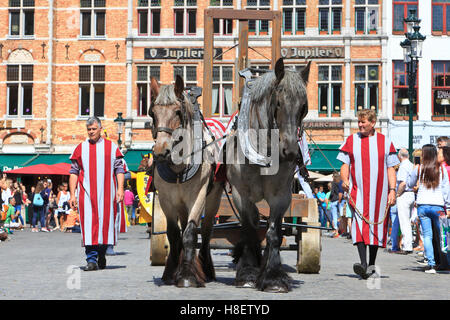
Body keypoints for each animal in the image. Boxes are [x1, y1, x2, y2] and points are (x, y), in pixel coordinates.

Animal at [149, 75, 223, 288]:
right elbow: (174, 234)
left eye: (177, 112)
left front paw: (188, 276)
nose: (161, 152)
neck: (179, 168)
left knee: (206, 232)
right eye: (152, 113)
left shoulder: (198, 197)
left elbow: (190, 233)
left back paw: (207, 269)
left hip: (213, 199)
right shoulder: (166, 200)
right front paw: (171, 272)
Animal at [227, 58, 312, 292]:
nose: (290, 151)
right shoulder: (241, 195)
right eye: (279, 103)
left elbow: (274, 233)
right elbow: (248, 230)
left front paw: (273, 276)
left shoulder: (281, 197)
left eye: (304, 106)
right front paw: (247, 272)